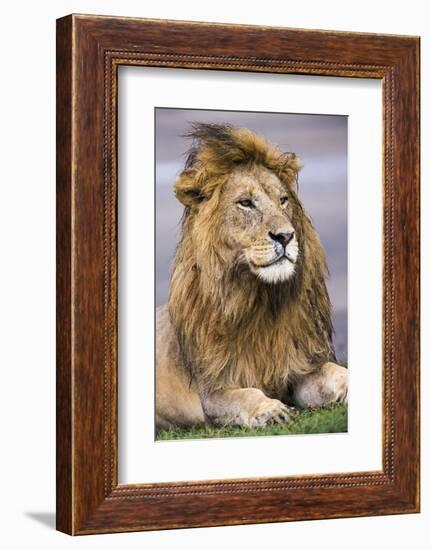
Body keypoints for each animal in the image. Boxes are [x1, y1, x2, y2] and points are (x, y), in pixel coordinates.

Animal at [155, 122, 348, 432]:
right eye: (245, 203)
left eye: (283, 200)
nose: (286, 236)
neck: (260, 301)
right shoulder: (213, 391)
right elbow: (245, 395)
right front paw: (271, 409)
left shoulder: (296, 369)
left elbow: (334, 371)